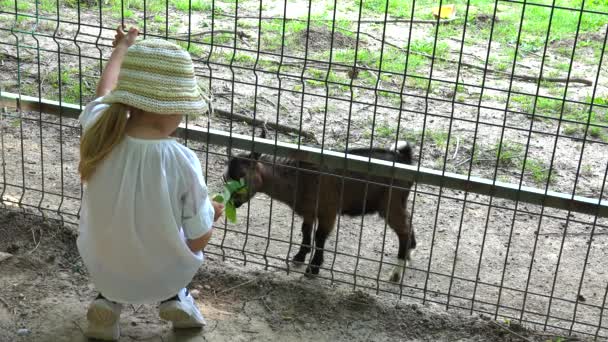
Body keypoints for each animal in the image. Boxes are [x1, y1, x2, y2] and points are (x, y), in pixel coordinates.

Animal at [226, 140, 416, 282]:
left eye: (242, 176)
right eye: (226, 177)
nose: (234, 202)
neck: (299, 178)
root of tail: (404, 158)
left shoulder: (328, 211)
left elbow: (320, 236)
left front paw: (313, 267)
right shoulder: (309, 211)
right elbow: (305, 230)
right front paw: (299, 256)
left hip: (390, 203)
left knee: (404, 231)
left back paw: (396, 274)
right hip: (399, 202)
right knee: (408, 223)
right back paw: (408, 254)